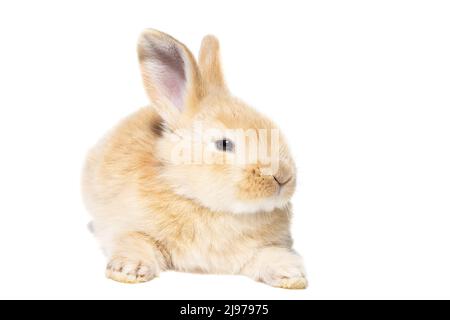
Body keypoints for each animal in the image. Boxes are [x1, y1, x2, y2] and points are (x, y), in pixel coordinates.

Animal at [82, 30, 308, 288]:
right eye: (223, 144)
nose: (283, 176)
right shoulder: (128, 227)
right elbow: (136, 241)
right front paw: (128, 270)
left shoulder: (265, 248)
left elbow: (269, 255)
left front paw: (291, 275)